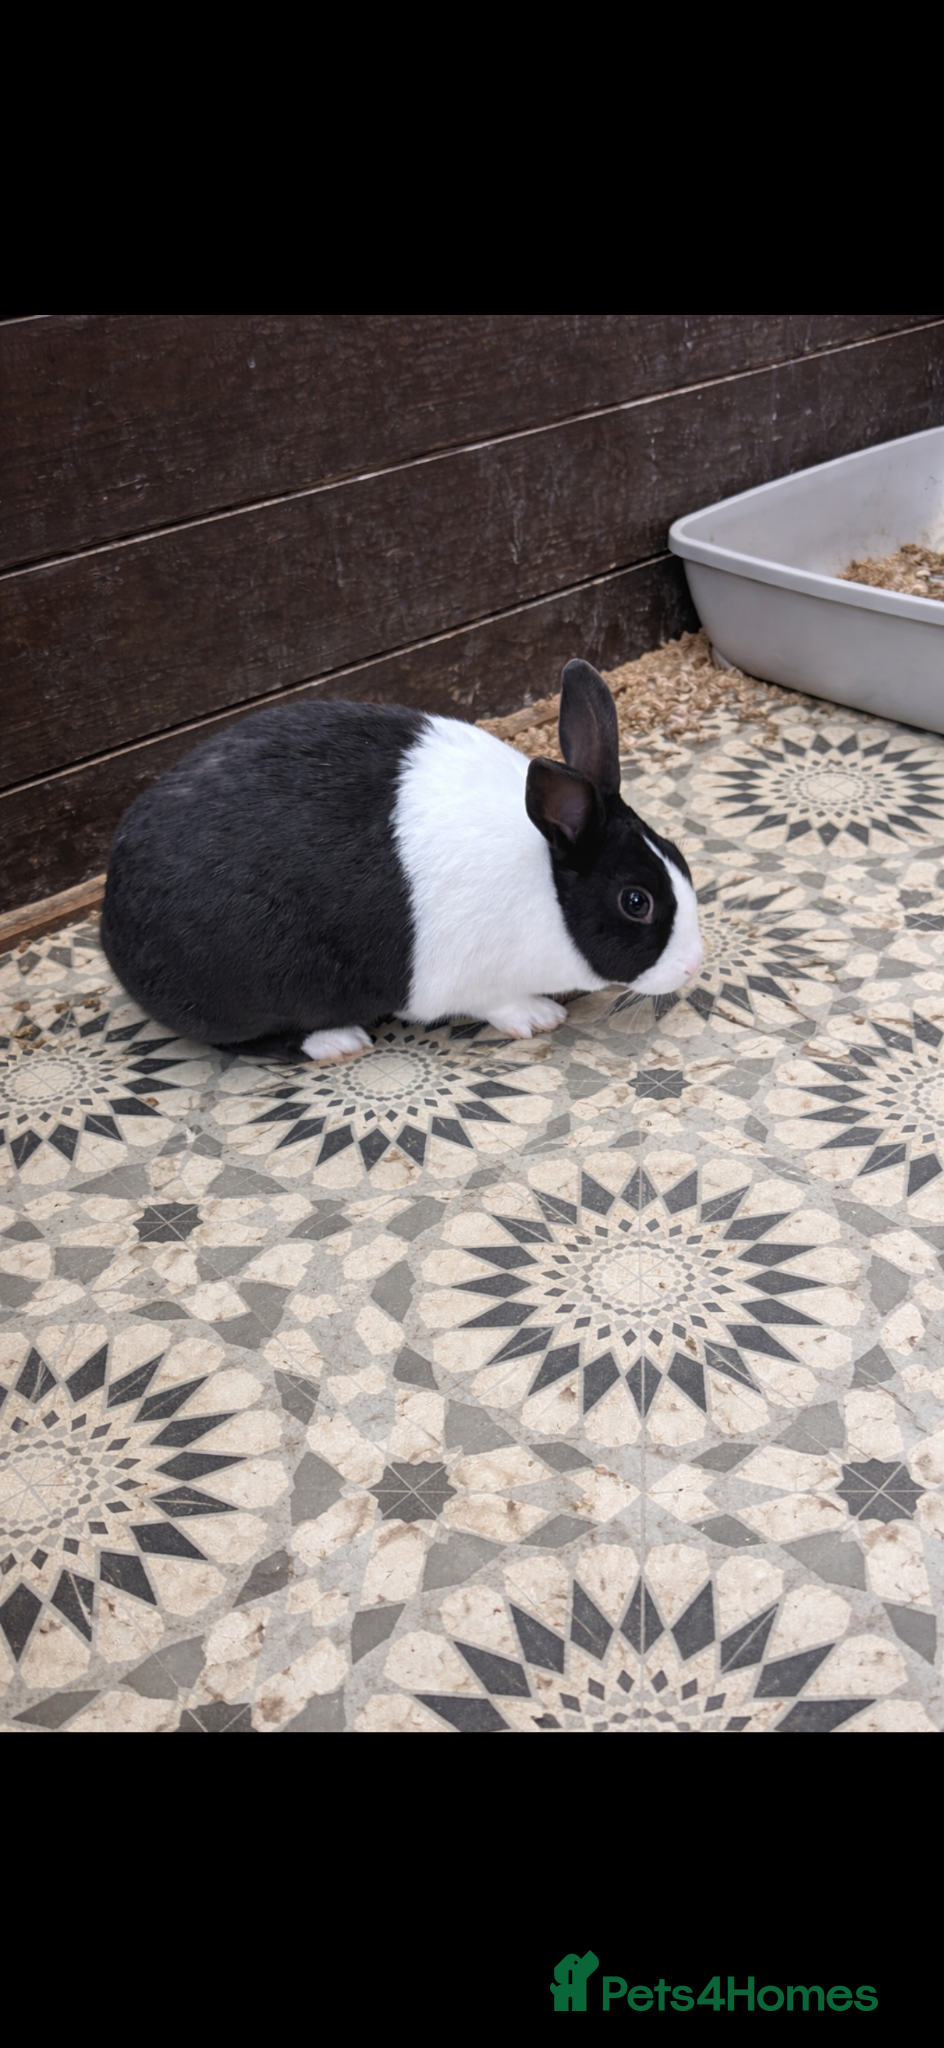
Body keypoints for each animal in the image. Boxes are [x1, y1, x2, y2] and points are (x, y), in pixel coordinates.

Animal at [100, 658, 704, 1064]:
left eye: (679, 857)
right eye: (636, 901)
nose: (694, 966)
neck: (546, 882)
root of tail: (111, 923)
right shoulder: (465, 979)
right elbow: (496, 1003)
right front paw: (539, 1018)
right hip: (250, 990)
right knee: (247, 1041)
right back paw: (338, 1041)